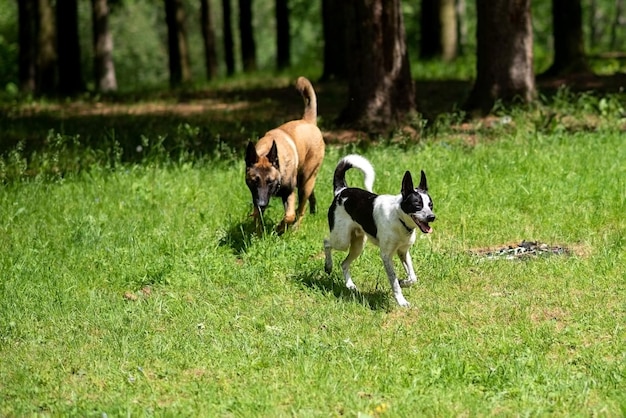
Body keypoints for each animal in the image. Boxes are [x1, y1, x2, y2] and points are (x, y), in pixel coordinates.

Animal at [244, 76, 324, 233]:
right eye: (255, 181)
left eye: (270, 181)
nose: (262, 204)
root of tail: (308, 121)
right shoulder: (256, 194)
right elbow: (257, 216)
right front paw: (258, 232)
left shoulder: (289, 193)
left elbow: (289, 215)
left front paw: (280, 229)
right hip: (306, 181)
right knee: (309, 197)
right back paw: (313, 210)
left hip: (305, 182)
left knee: (301, 208)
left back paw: (296, 228)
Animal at [322, 155, 434, 306]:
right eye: (417, 205)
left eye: (431, 205)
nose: (432, 217)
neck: (398, 217)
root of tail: (342, 191)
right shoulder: (386, 255)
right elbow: (393, 280)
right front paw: (401, 301)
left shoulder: (403, 252)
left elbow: (412, 278)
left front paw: (403, 282)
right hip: (342, 240)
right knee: (327, 242)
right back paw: (328, 266)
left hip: (358, 245)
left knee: (344, 264)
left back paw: (350, 285)